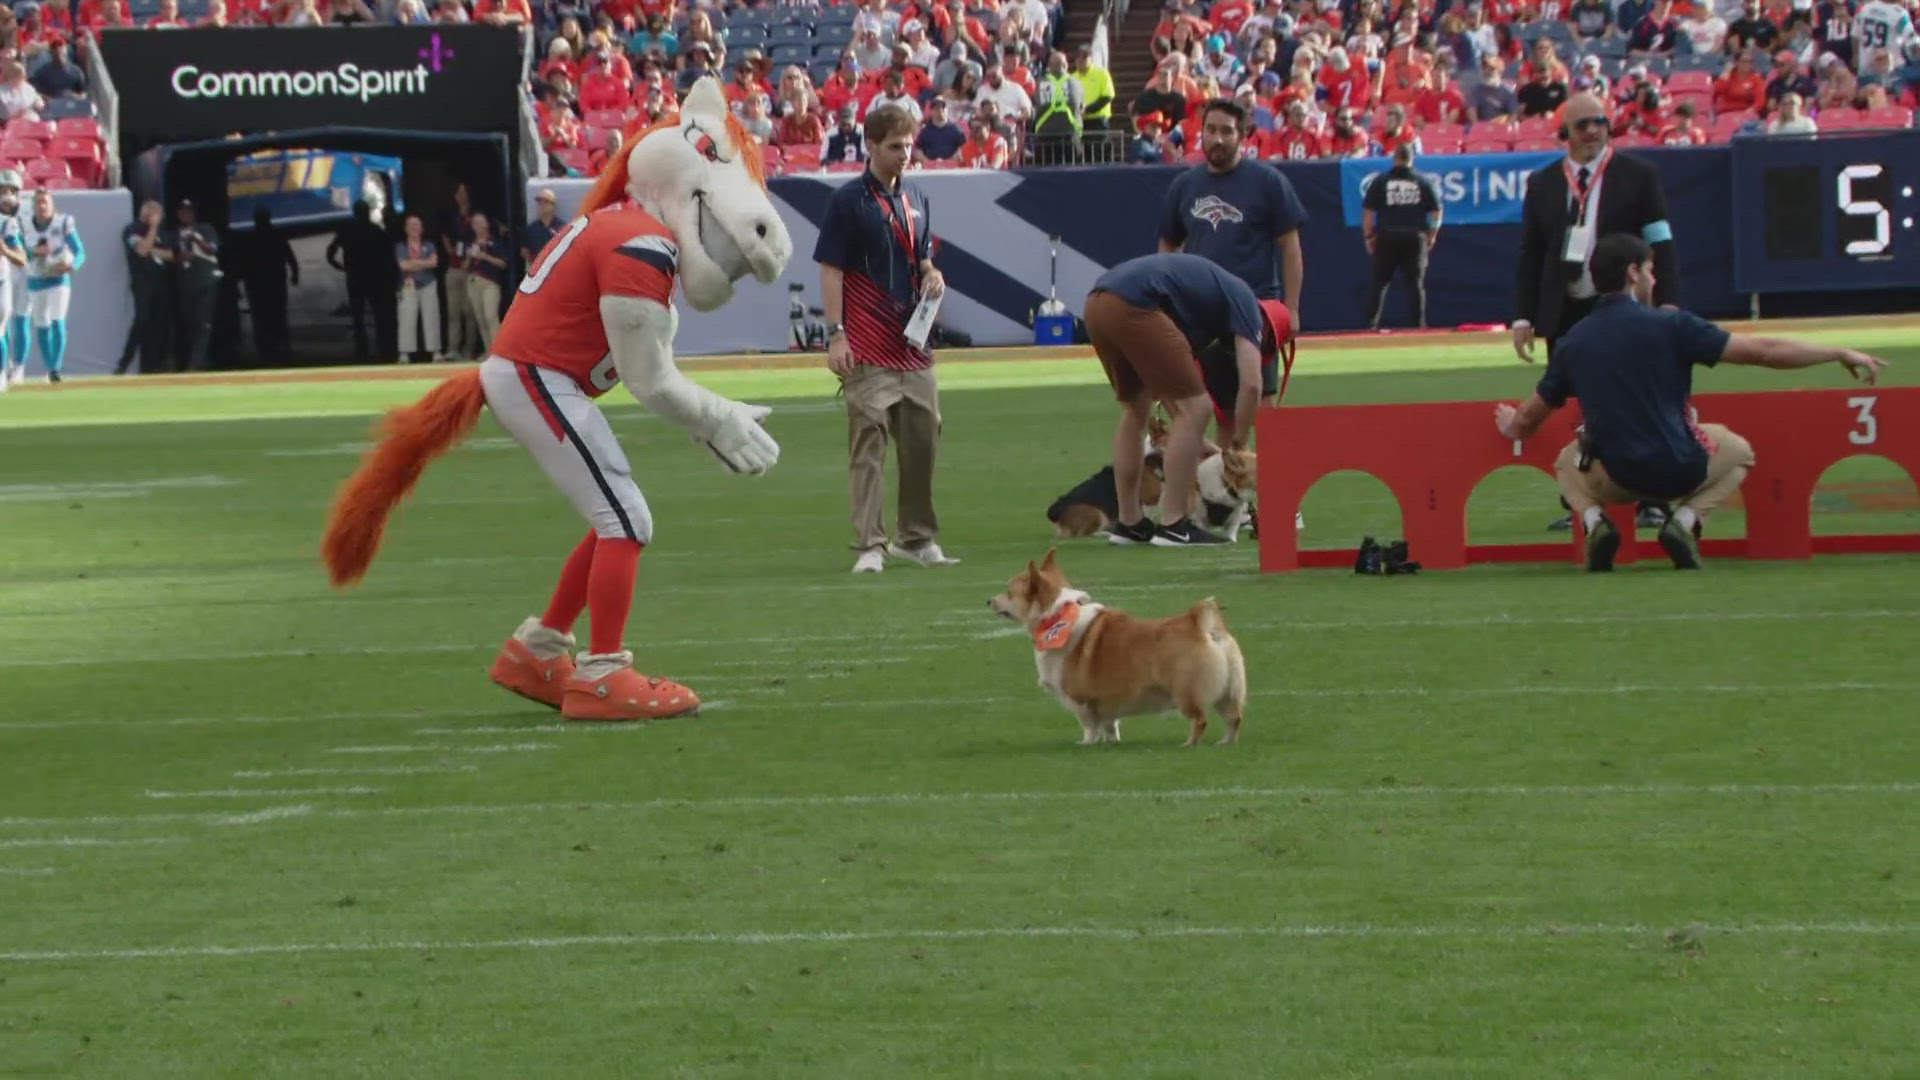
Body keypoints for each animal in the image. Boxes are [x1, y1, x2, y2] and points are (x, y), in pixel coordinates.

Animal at [990, 549, 1244, 745]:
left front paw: (1086, 743)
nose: (988, 601)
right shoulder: (1107, 705)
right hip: (1228, 692)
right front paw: (1112, 743)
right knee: (1234, 718)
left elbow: (1089, 726)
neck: (1057, 615)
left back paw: (1189, 744)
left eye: (1009, 592)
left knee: (1200, 719)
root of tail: (1199, 624)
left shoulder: (1079, 701)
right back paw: (1225, 742)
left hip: (1186, 692)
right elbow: (1110, 726)